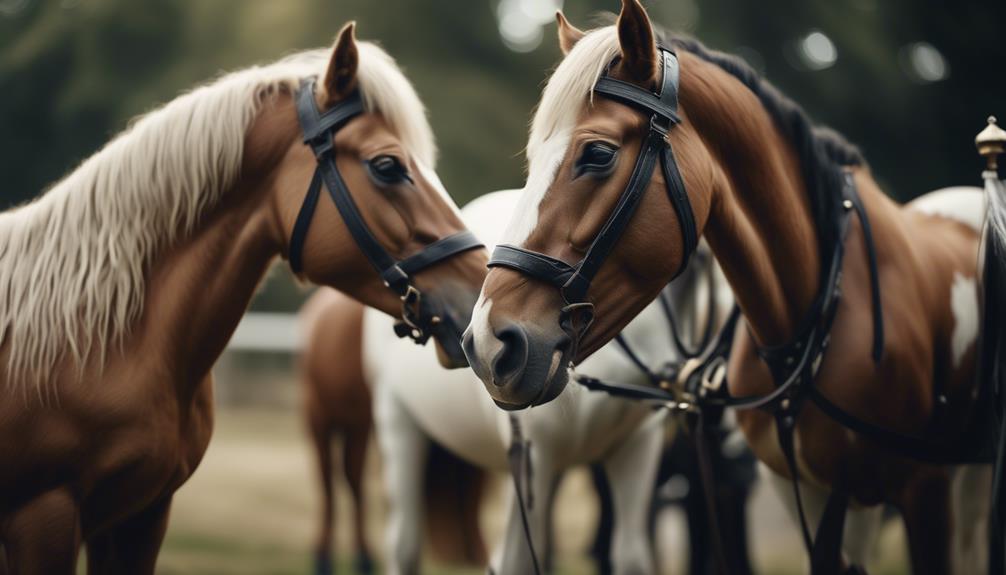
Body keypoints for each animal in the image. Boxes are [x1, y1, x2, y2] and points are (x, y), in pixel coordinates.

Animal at [368, 189, 724, 575]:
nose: (667, 370)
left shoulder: (636, 448)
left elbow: (629, 558)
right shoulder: (533, 455)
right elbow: (513, 561)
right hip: (398, 424)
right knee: (404, 543)